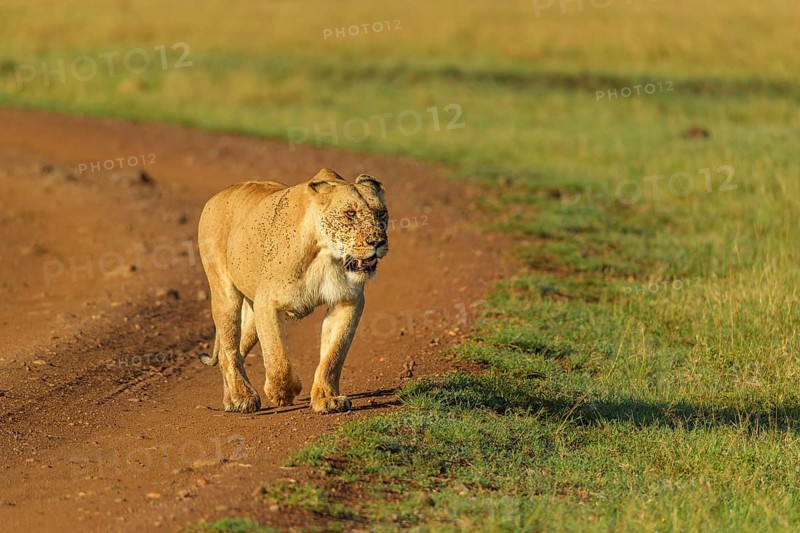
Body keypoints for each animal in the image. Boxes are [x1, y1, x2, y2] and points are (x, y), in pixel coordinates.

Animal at [197, 168, 389, 414]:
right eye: (350, 214)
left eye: (381, 213)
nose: (378, 242)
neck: (326, 254)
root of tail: (218, 195)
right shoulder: (267, 302)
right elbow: (276, 356)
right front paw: (282, 393)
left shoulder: (348, 300)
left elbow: (333, 355)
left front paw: (327, 399)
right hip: (225, 293)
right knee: (228, 351)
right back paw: (243, 398)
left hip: (251, 314)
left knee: (234, 351)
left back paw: (231, 399)